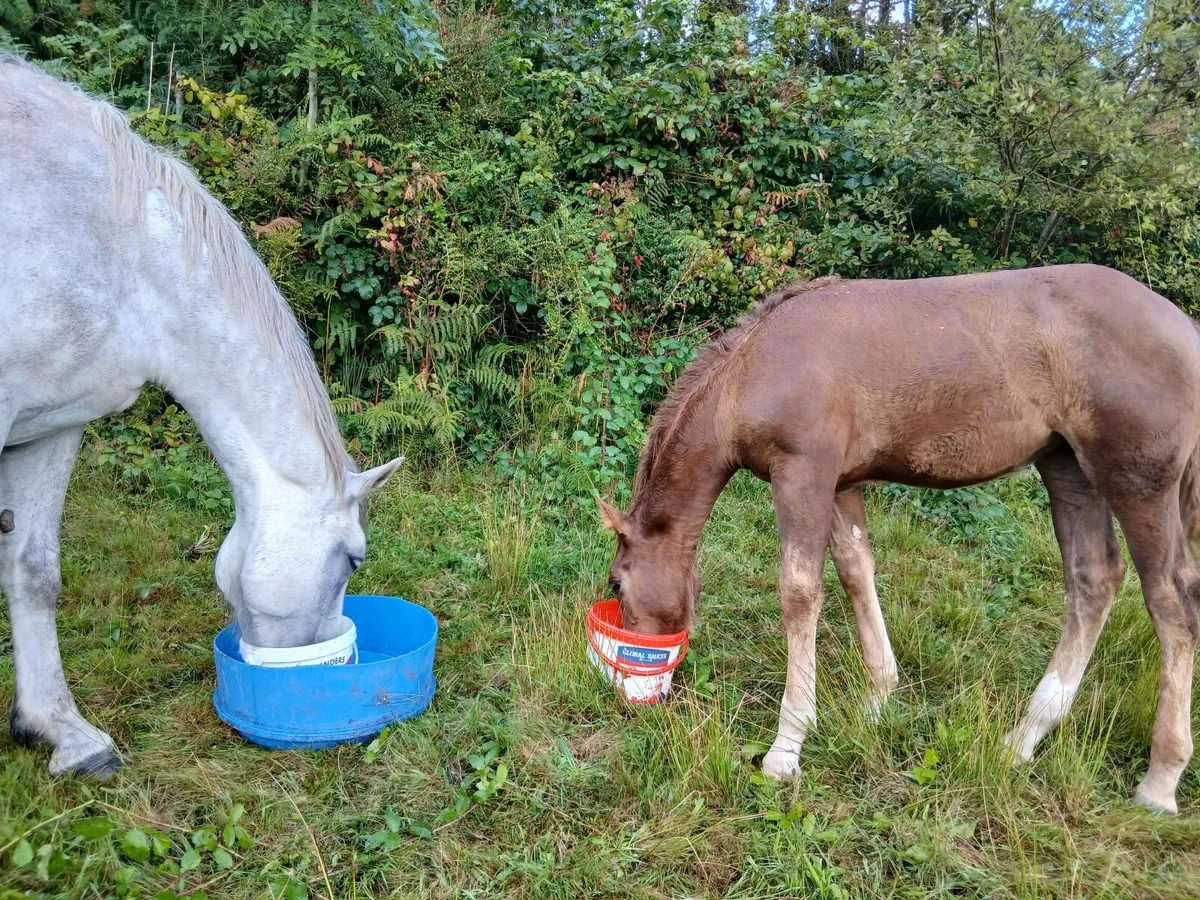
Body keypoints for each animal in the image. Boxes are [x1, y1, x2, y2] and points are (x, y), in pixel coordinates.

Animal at [0, 55, 403, 778]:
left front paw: (62, 731)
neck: (118, 247)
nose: (332, 652)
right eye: (354, 559)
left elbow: (33, 569)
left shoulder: (50, 423)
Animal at [598, 265, 1200, 814]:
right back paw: (1024, 738)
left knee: (1171, 603)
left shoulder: (803, 475)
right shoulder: (840, 484)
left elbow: (799, 592)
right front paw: (878, 699)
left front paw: (787, 746)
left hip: (1139, 485)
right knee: (1094, 581)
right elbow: (855, 571)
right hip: (1069, 469)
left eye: (617, 583)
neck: (752, 369)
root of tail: (1185, 329)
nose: (636, 692)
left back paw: (1160, 781)